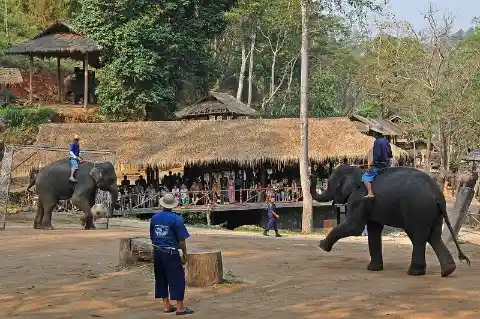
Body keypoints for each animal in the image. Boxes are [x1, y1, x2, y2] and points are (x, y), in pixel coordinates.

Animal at [310, 166, 470, 278]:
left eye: (331, 184)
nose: (313, 174)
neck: (358, 171)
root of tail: (437, 195)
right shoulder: (369, 204)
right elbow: (373, 229)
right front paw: (373, 269)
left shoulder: (359, 199)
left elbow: (354, 227)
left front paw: (321, 245)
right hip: (434, 213)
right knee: (434, 237)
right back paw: (448, 270)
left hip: (418, 209)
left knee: (418, 237)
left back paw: (414, 272)